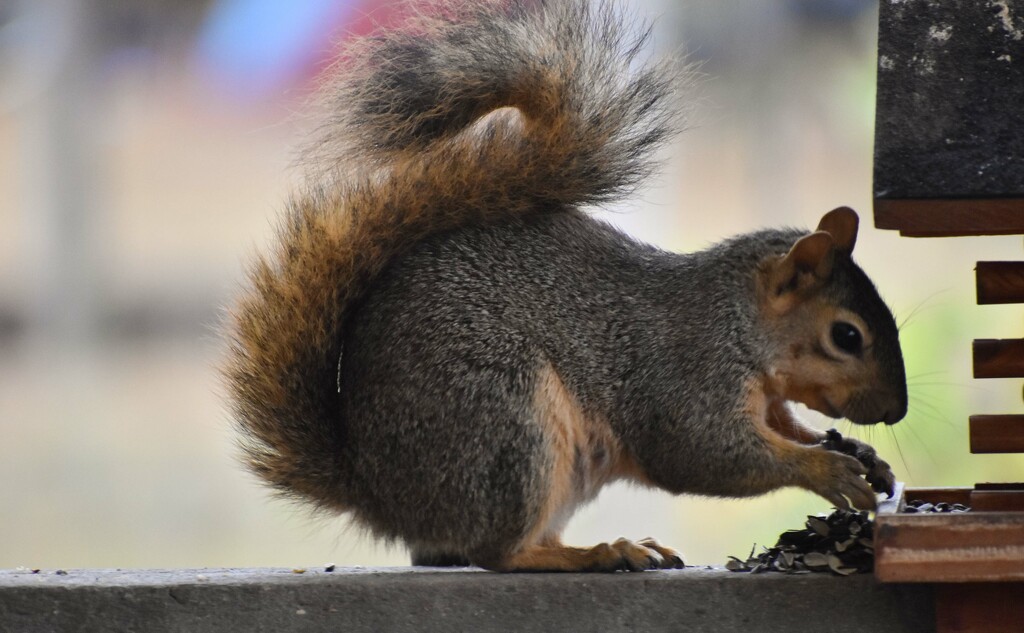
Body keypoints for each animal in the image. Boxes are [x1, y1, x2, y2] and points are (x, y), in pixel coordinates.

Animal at [224, 0, 905, 573]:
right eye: (847, 336)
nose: (895, 412)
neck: (737, 324)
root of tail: (381, 494)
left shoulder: (766, 400)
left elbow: (788, 428)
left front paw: (862, 456)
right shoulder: (684, 378)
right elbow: (703, 453)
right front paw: (827, 468)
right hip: (503, 418)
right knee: (499, 552)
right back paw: (597, 553)